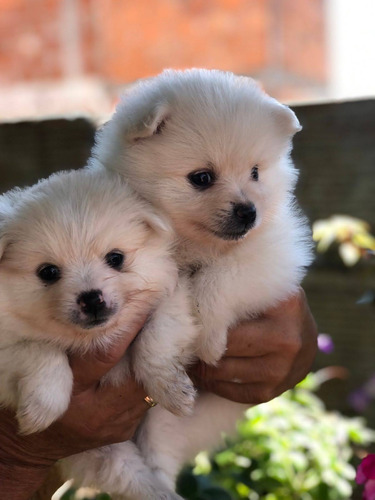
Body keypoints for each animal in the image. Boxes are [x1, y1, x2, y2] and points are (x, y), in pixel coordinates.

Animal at [0, 169, 198, 500]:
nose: (91, 299)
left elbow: (155, 340)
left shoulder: (171, 300)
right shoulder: (7, 350)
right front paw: (41, 409)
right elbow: (42, 352)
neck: (92, 339)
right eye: (48, 272)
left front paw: (171, 390)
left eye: (115, 258)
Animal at [91, 68, 314, 498]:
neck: (193, 247)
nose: (248, 212)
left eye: (256, 172)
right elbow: (158, 332)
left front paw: (210, 341)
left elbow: (220, 279)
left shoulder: (272, 255)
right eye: (202, 178)